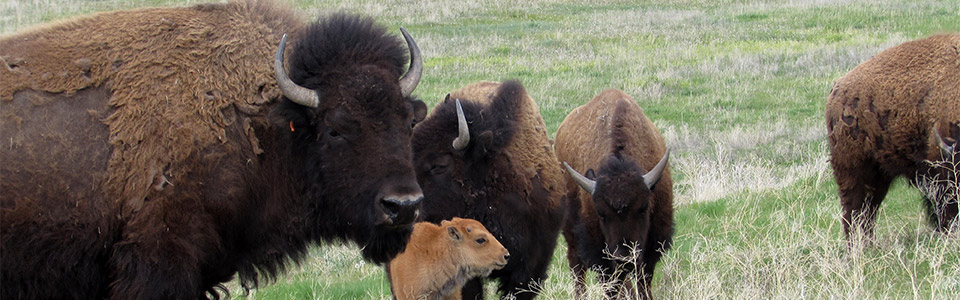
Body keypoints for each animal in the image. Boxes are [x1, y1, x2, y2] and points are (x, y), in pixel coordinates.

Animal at [556, 89, 676, 300]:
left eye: (643, 207)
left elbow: (643, 283)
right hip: (571, 234)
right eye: (601, 213)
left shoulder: (651, 249)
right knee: (577, 268)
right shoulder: (602, 253)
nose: (624, 257)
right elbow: (610, 284)